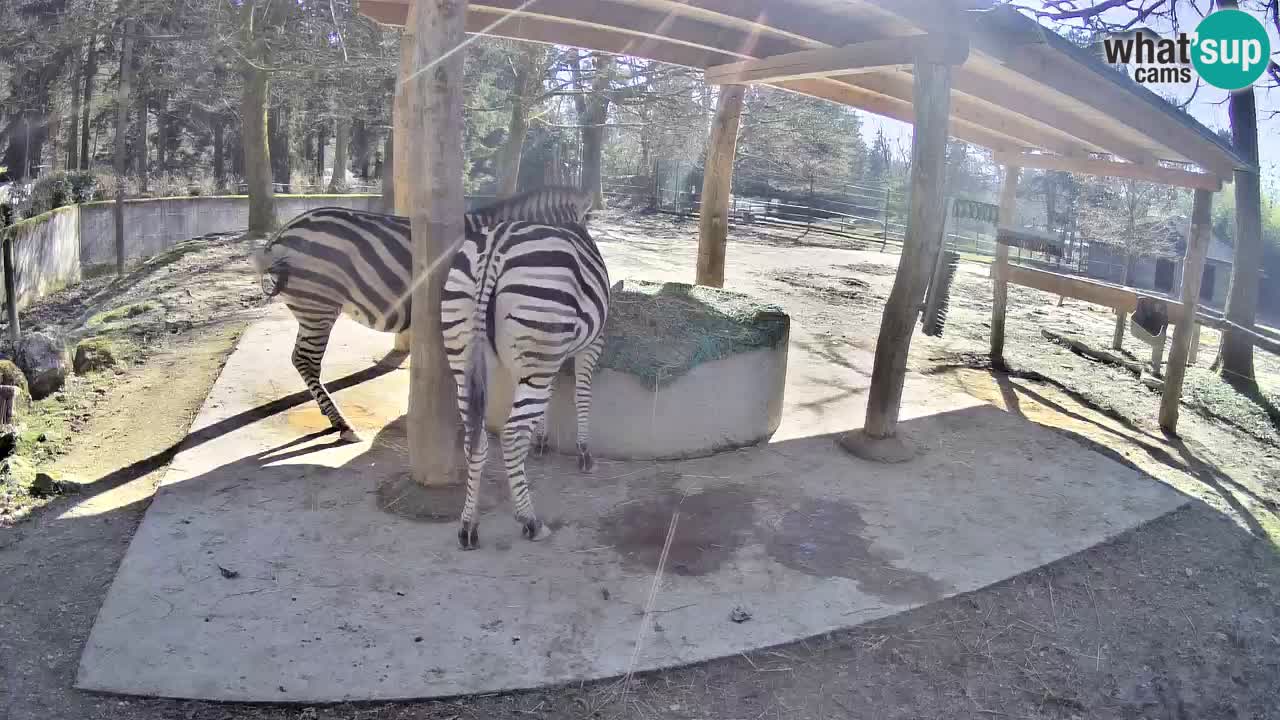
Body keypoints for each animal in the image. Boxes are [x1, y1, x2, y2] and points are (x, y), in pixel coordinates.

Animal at [251, 186, 594, 443]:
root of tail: (281, 235)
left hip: (310, 308)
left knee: (300, 359)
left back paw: (333, 419)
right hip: (318, 305)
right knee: (306, 361)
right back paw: (343, 425)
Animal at [443, 219, 611, 549]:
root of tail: (493, 250)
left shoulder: (545, 360)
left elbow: (552, 396)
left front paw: (543, 439)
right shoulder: (591, 343)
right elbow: (581, 394)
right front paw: (584, 452)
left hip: (465, 360)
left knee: (475, 439)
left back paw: (468, 525)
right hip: (540, 340)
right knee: (510, 435)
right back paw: (530, 521)